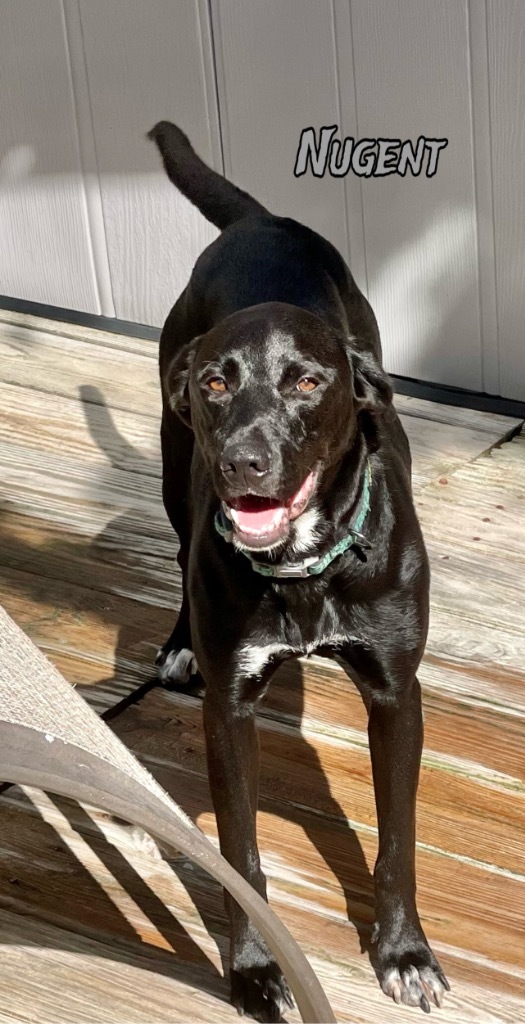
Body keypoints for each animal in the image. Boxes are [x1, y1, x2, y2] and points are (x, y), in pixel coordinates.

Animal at [149, 119, 448, 1015]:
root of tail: (260, 221)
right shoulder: (230, 711)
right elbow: (240, 855)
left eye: (308, 382)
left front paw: (402, 952)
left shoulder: (395, 695)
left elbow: (396, 841)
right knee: (178, 542)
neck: (305, 568)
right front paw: (253, 968)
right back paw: (178, 640)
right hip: (174, 467)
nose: (242, 463)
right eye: (218, 383)